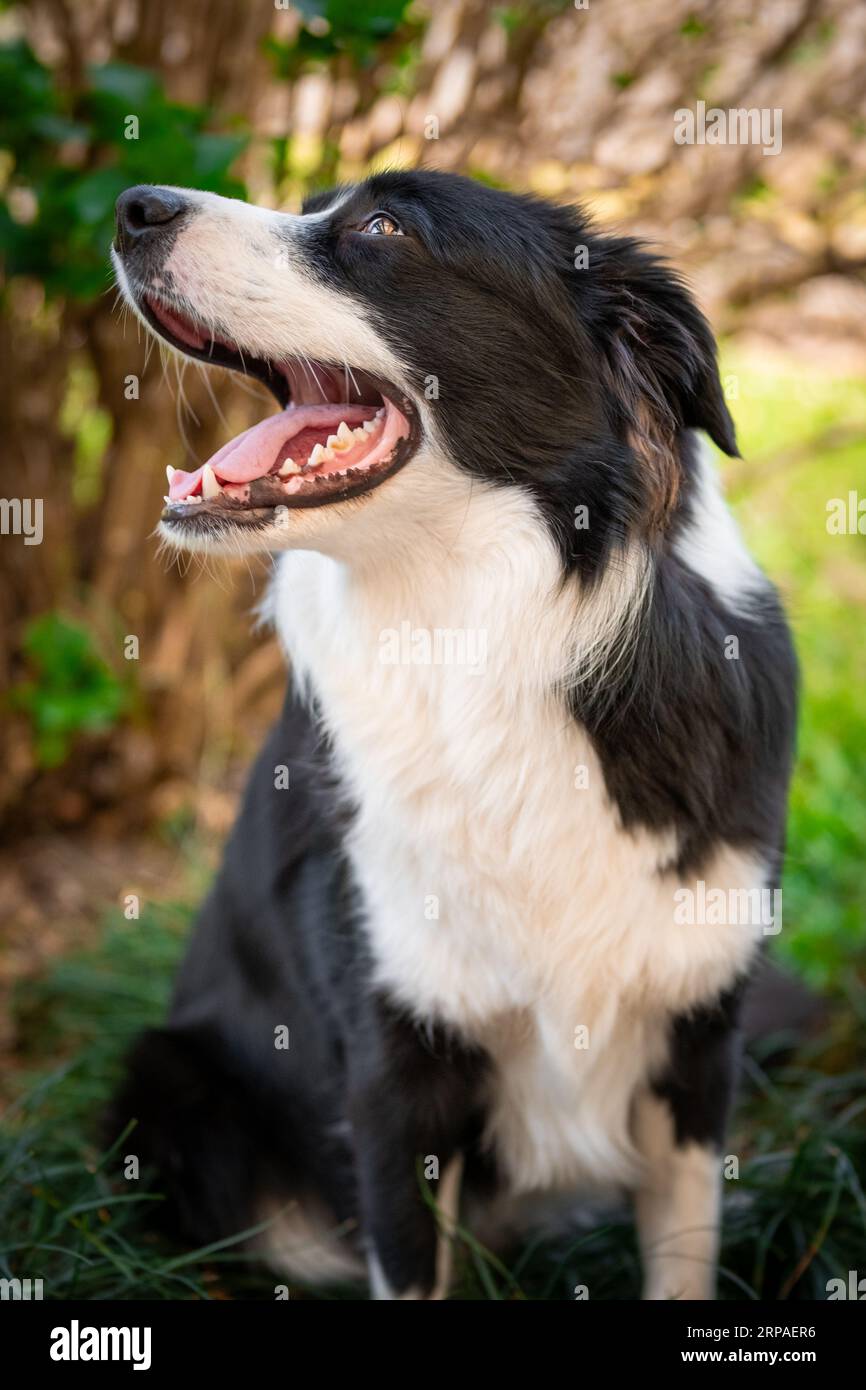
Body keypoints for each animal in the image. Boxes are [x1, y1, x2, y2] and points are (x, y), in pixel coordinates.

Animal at [111, 168, 795, 1295]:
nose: (132, 206)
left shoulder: (697, 1043)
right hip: (166, 1082)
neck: (477, 635)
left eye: (382, 227)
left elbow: (683, 1255)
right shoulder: (395, 1071)